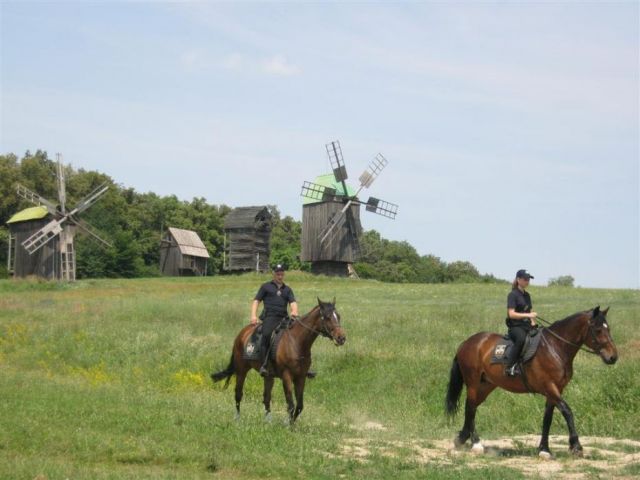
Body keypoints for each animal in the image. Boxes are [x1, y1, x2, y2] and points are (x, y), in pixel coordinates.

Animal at [211, 296, 344, 424]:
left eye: (338, 316)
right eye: (327, 317)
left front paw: (291, 424)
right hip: (241, 370)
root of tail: (241, 334)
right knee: (238, 393)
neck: (296, 342)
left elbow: (299, 406)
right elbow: (291, 404)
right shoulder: (286, 376)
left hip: (268, 376)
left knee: (266, 397)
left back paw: (268, 421)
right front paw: (289, 425)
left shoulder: (301, 377)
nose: (341, 338)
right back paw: (238, 419)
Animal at [448, 308, 616, 458]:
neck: (555, 347)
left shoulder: (555, 391)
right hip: (473, 383)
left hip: (486, 385)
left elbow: (547, 419)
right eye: (598, 330)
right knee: (471, 408)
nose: (613, 357)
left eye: (608, 328)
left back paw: (461, 438)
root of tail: (466, 343)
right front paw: (576, 446)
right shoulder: (550, 387)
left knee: (472, 407)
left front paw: (544, 449)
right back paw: (476, 443)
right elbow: (567, 411)